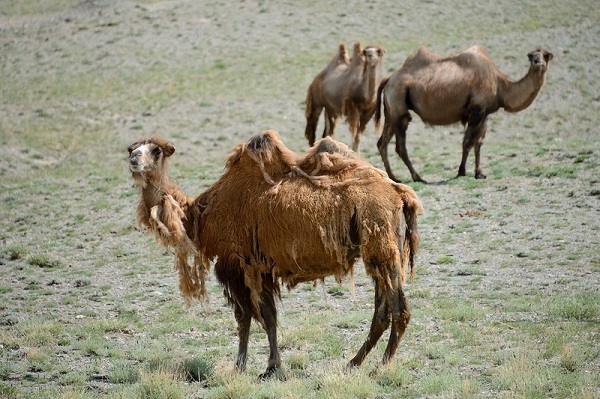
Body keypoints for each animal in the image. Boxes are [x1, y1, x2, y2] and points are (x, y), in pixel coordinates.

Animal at [129, 130, 424, 378]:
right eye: (133, 147)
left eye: (156, 150)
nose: (134, 159)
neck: (201, 215)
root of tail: (401, 194)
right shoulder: (258, 268)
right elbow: (258, 318)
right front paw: (252, 365)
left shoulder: (242, 264)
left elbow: (254, 317)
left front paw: (262, 367)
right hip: (380, 251)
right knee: (382, 311)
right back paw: (354, 362)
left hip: (382, 247)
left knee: (398, 309)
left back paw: (382, 365)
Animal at [376, 45, 552, 183]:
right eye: (532, 56)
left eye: (545, 55)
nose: (538, 63)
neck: (501, 84)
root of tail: (389, 78)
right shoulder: (477, 110)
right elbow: (467, 142)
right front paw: (461, 172)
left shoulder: (485, 114)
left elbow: (478, 143)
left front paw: (480, 173)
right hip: (399, 102)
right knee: (400, 146)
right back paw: (418, 177)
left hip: (391, 110)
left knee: (382, 143)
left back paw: (393, 178)